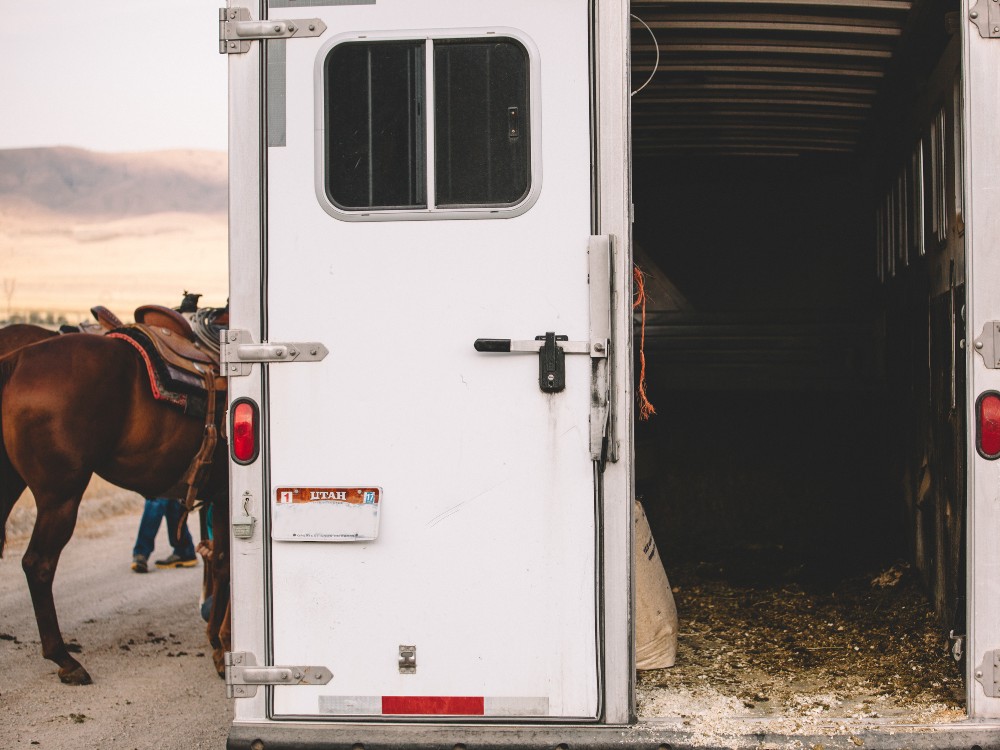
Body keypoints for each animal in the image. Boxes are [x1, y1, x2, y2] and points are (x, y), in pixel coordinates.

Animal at [0, 332, 229, 684]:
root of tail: (16, 361)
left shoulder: (219, 496)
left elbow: (218, 563)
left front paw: (218, 643)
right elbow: (227, 566)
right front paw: (223, 648)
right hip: (61, 496)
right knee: (39, 565)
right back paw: (65, 659)